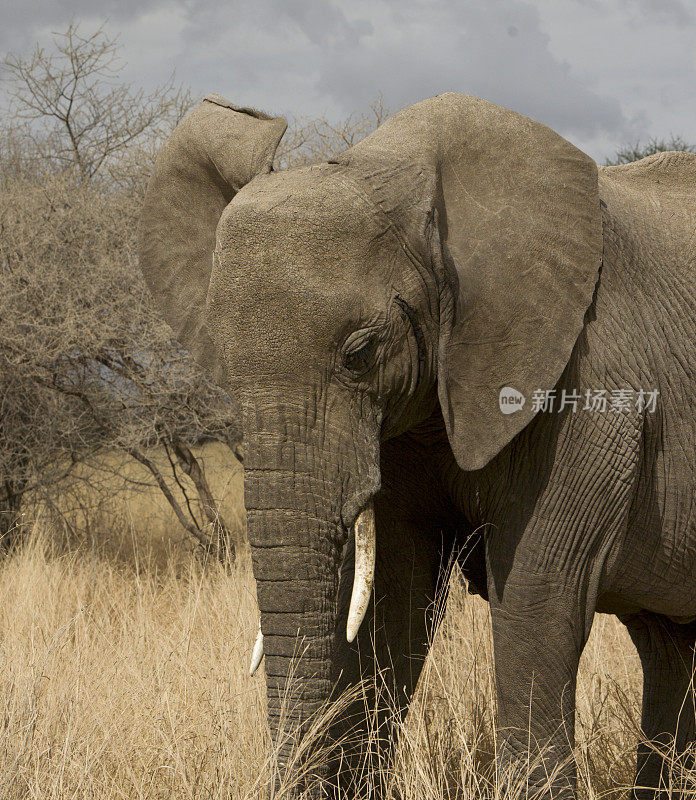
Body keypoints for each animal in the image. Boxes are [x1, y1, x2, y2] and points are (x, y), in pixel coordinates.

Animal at [139, 90, 696, 796]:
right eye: (223, 365)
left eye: (360, 353)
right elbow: (394, 605)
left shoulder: (591, 386)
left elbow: (537, 599)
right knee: (669, 647)